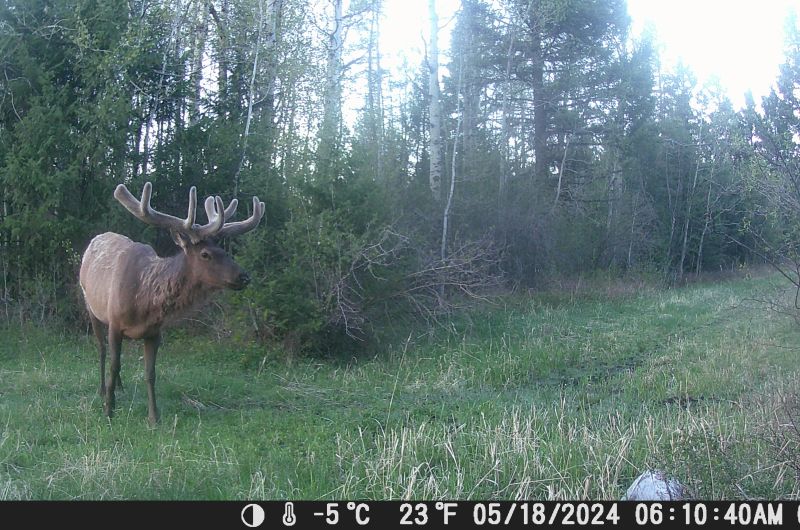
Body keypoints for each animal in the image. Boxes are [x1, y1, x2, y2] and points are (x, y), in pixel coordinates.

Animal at [79, 181, 264, 425]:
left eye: (224, 250)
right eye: (205, 254)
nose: (244, 277)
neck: (144, 302)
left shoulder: (154, 332)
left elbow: (150, 373)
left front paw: (154, 417)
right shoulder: (115, 323)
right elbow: (113, 364)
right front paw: (109, 410)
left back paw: (120, 386)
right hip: (91, 305)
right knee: (101, 349)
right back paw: (103, 389)